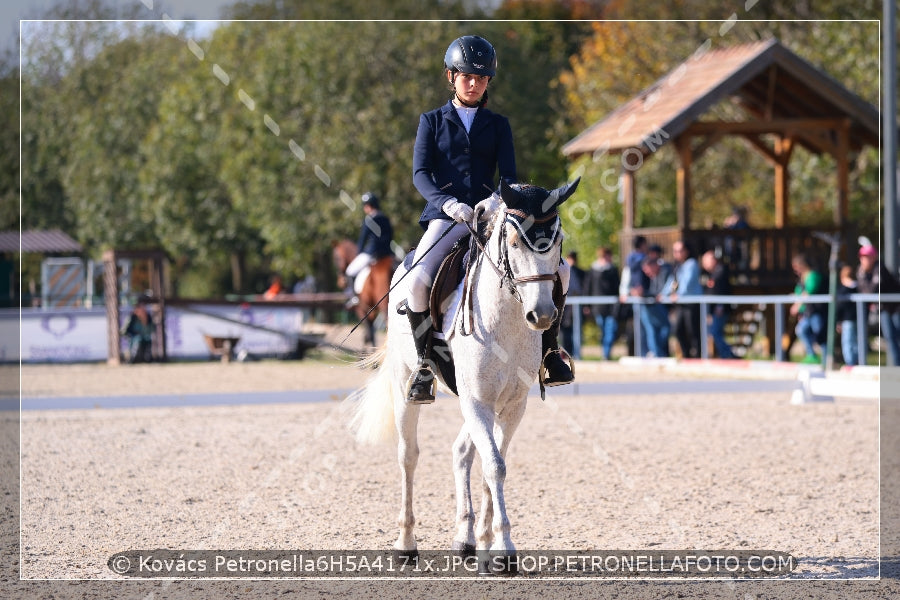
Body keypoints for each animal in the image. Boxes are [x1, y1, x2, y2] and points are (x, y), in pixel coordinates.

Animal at [348, 177, 580, 568]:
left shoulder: (512, 404)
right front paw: (504, 549)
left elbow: (492, 464)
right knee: (408, 456)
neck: (507, 320)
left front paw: (491, 545)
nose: (543, 315)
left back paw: (466, 539)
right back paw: (406, 544)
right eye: (513, 241)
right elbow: (494, 466)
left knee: (461, 452)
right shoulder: (477, 401)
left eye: (558, 240)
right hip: (407, 387)